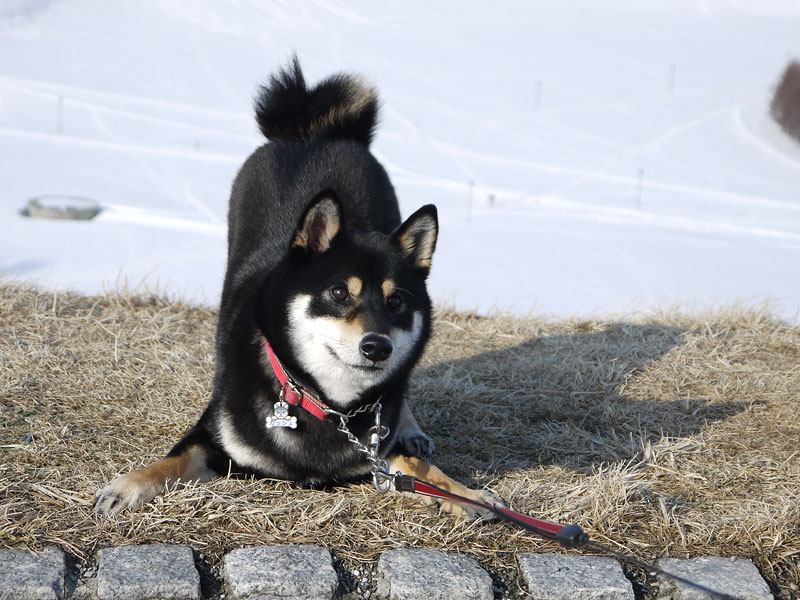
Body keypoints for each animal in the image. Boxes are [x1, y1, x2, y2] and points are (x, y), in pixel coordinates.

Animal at [95, 57, 500, 520]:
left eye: (396, 301)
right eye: (340, 293)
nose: (377, 347)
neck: (329, 408)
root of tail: (315, 133)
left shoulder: (379, 450)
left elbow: (422, 468)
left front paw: (467, 493)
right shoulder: (214, 437)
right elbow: (173, 459)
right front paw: (127, 486)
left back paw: (411, 429)